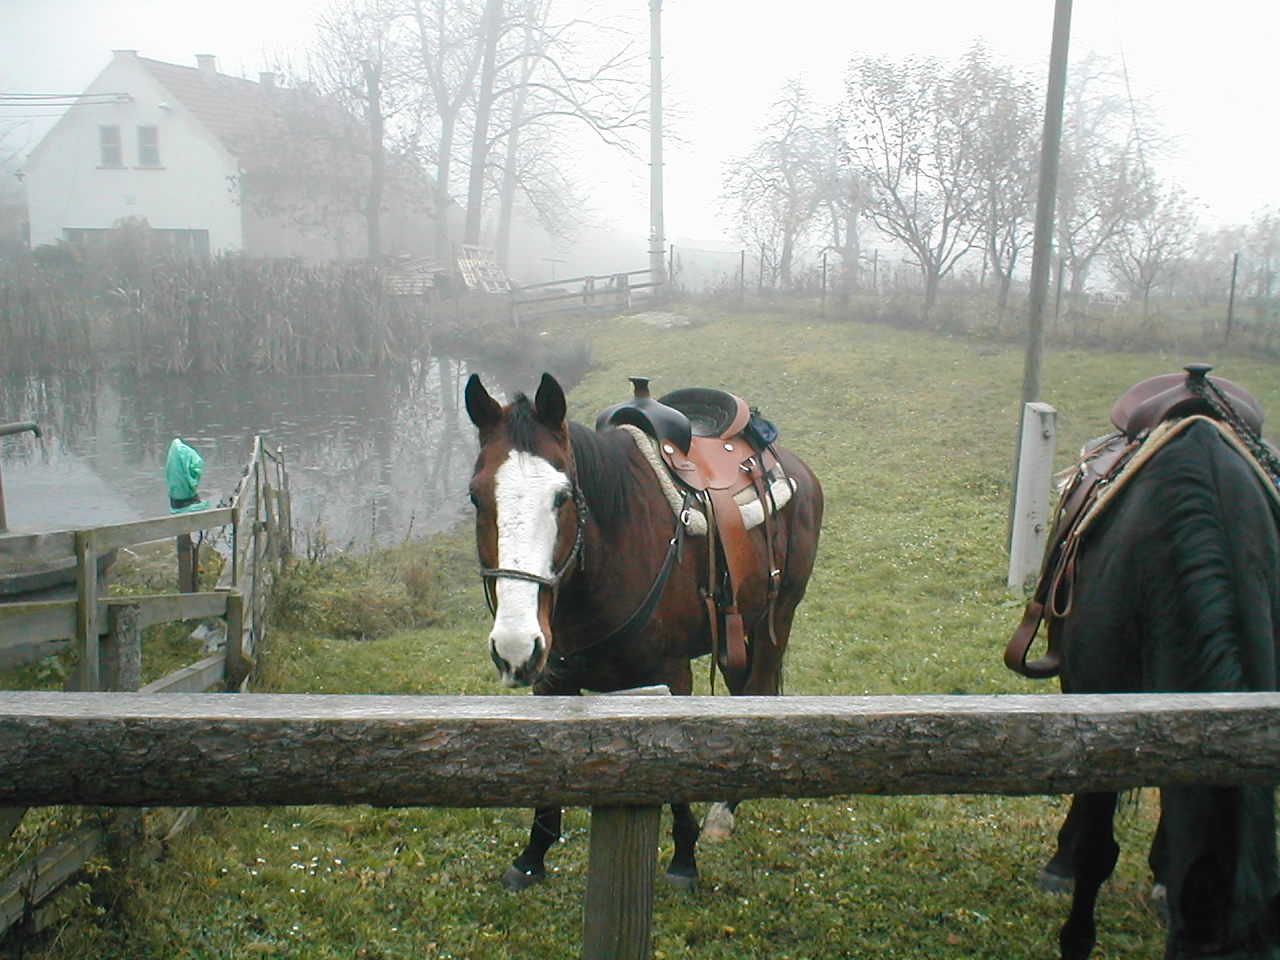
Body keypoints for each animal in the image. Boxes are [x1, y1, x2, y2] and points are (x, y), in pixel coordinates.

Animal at [465, 371, 824, 890]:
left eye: (562, 496)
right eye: (475, 496)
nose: (515, 646)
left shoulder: (672, 679)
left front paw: (684, 860)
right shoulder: (553, 681)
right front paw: (532, 856)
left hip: (778, 615)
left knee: (759, 688)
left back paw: (725, 810)